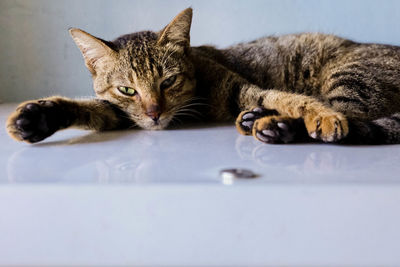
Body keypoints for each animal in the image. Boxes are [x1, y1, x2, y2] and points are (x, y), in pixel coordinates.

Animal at [5, 7, 400, 144]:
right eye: (127, 90)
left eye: (168, 81)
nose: (154, 112)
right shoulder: (121, 111)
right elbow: (91, 108)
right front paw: (37, 118)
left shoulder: (241, 87)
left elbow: (287, 97)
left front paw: (319, 115)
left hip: (350, 76)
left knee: (357, 118)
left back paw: (275, 124)